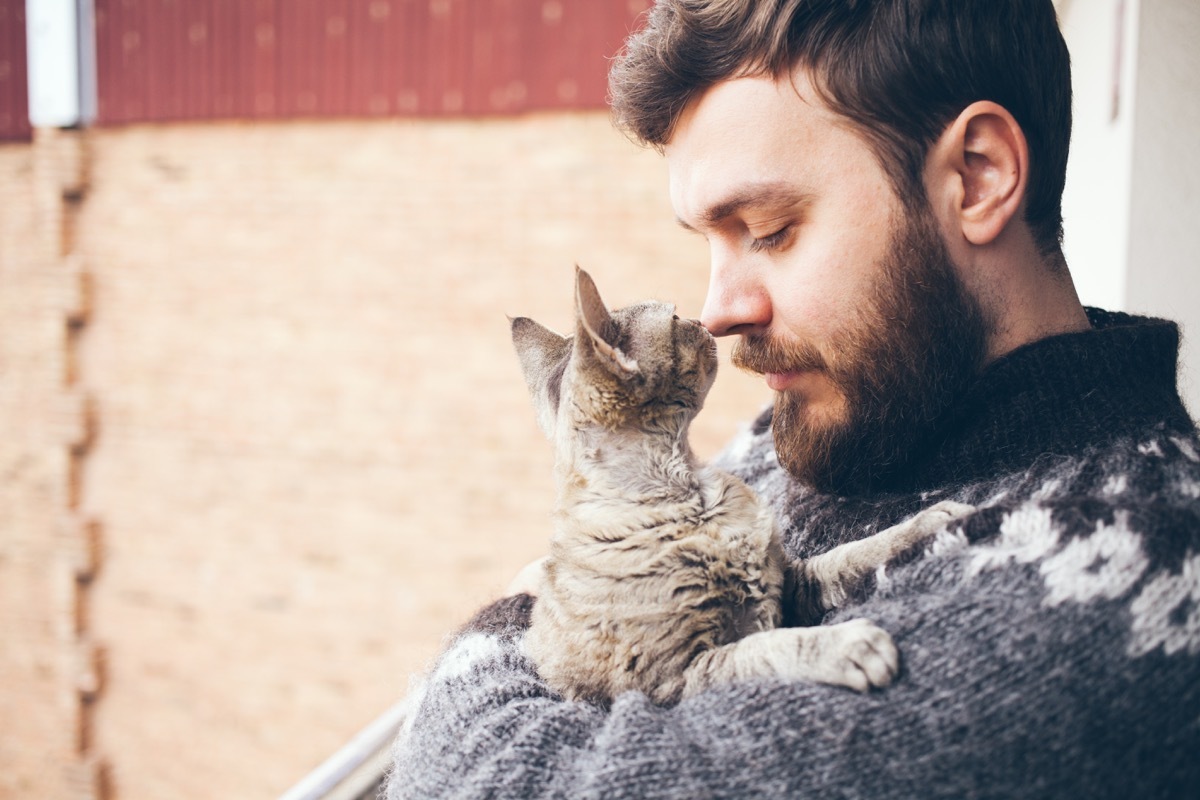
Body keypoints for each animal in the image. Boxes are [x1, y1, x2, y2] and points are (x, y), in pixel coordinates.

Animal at [508, 268, 974, 705]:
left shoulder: (790, 583)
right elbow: (764, 648)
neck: (693, 492)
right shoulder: (675, 677)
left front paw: (929, 523)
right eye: (675, 319)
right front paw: (844, 644)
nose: (702, 320)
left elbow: (852, 553)